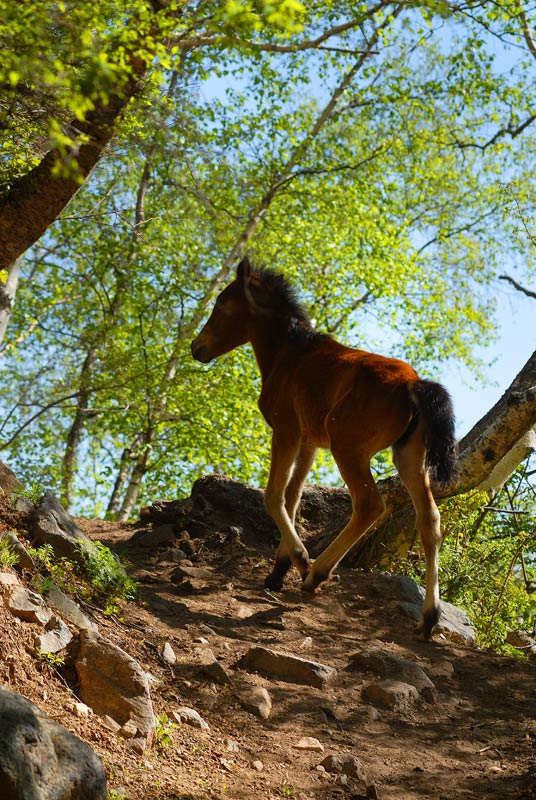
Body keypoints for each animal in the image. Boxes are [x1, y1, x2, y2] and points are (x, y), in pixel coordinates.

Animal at [192, 260, 456, 640]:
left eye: (222, 304)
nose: (196, 347)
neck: (289, 354)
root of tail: (413, 385)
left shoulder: (286, 431)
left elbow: (274, 496)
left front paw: (300, 560)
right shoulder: (309, 443)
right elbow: (292, 498)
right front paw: (278, 570)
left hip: (349, 449)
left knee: (370, 505)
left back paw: (316, 574)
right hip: (408, 455)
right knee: (430, 520)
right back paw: (429, 618)